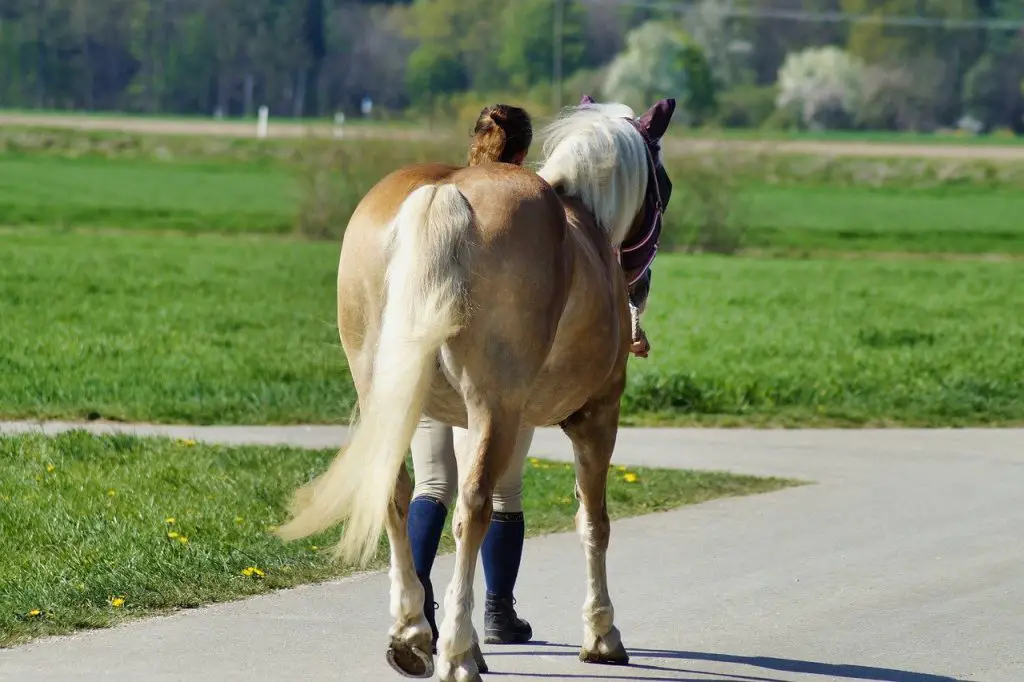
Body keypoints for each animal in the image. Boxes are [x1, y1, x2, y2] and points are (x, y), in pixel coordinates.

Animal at [278, 95, 679, 679]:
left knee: (401, 493)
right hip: (498, 410)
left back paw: (414, 634)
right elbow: (593, 521)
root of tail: (444, 192)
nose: (641, 287)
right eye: (663, 186)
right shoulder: (597, 416)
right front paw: (602, 634)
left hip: (395, 401)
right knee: (474, 509)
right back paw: (456, 653)